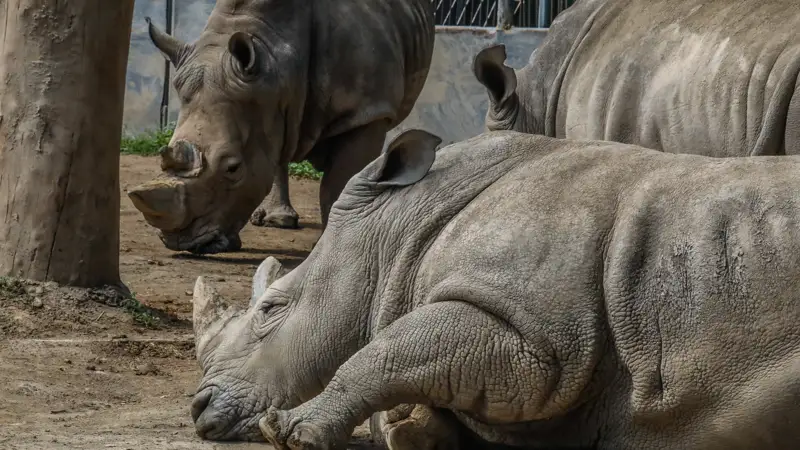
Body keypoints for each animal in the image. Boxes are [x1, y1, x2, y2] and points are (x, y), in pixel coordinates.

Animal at [126, 0, 434, 254]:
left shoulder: (366, 112)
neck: (278, 56)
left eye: (233, 168)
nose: (181, 243)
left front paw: (333, 243)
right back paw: (278, 220)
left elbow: (338, 185)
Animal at [189, 128, 800, 448]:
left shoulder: (538, 341)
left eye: (272, 307)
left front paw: (290, 432)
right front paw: (413, 431)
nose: (197, 408)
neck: (398, 229)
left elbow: (383, 353)